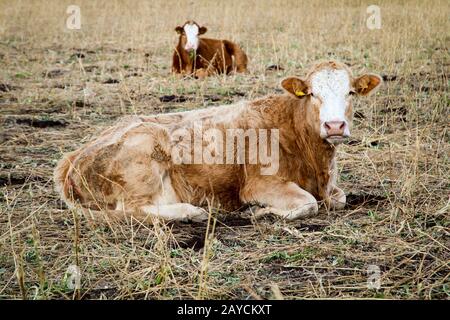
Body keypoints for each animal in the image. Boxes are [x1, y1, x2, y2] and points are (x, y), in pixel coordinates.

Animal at [54, 61, 382, 224]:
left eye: (351, 92)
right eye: (313, 93)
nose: (335, 125)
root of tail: (72, 157)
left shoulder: (331, 188)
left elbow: (339, 199)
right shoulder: (260, 184)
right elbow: (308, 204)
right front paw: (261, 212)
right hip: (143, 156)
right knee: (132, 209)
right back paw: (191, 212)